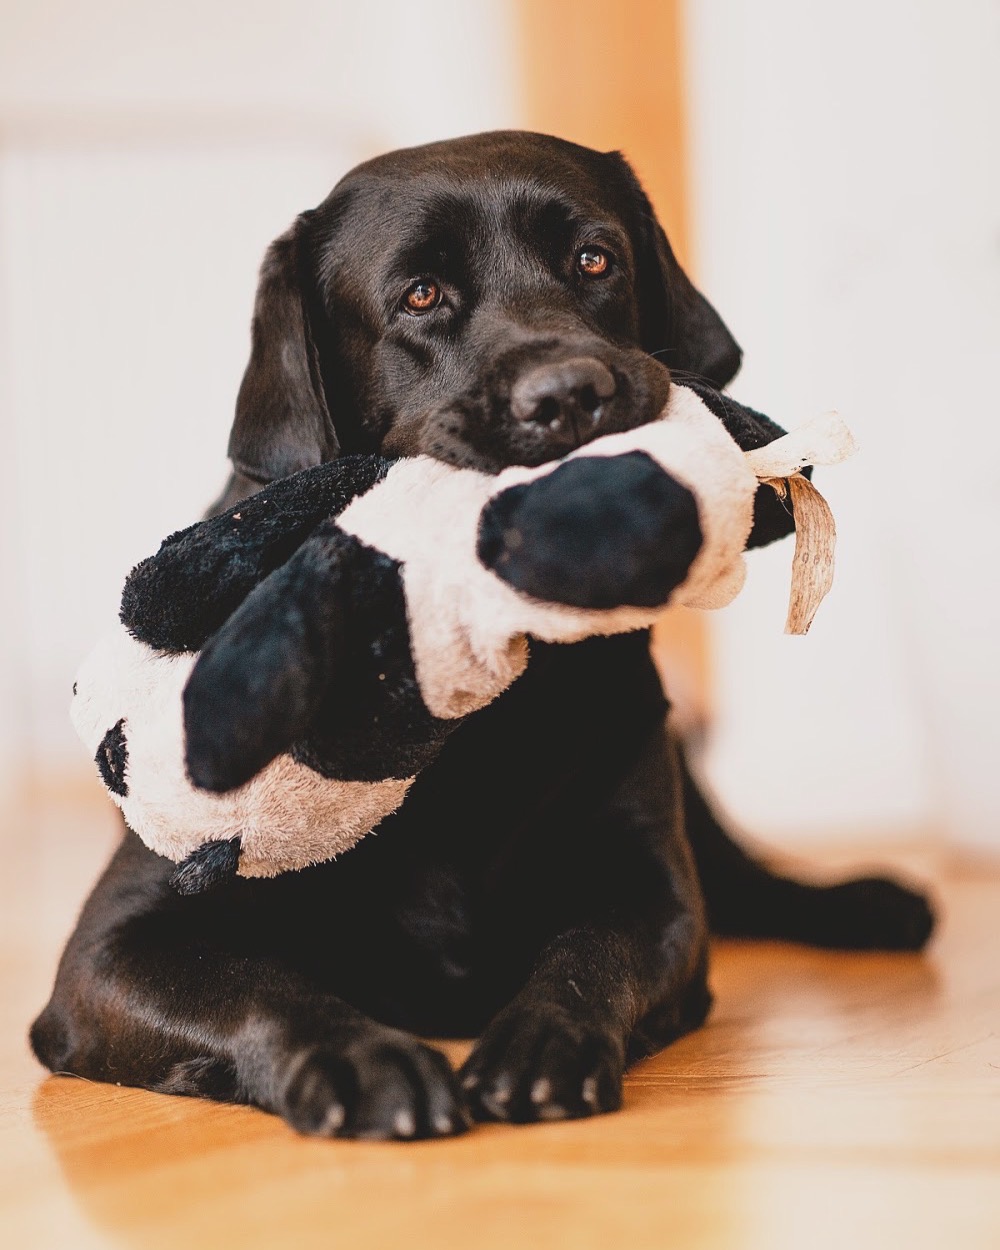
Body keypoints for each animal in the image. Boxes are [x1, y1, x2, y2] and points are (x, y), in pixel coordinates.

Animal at [33, 131, 940, 1140]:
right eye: (421, 295)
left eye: (595, 259)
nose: (570, 393)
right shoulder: (111, 947)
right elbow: (251, 986)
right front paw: (362, 1060)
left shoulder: (652, 893)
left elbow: (591, 952)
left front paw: (542, 1043)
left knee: (752, 878)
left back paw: (870, 901)